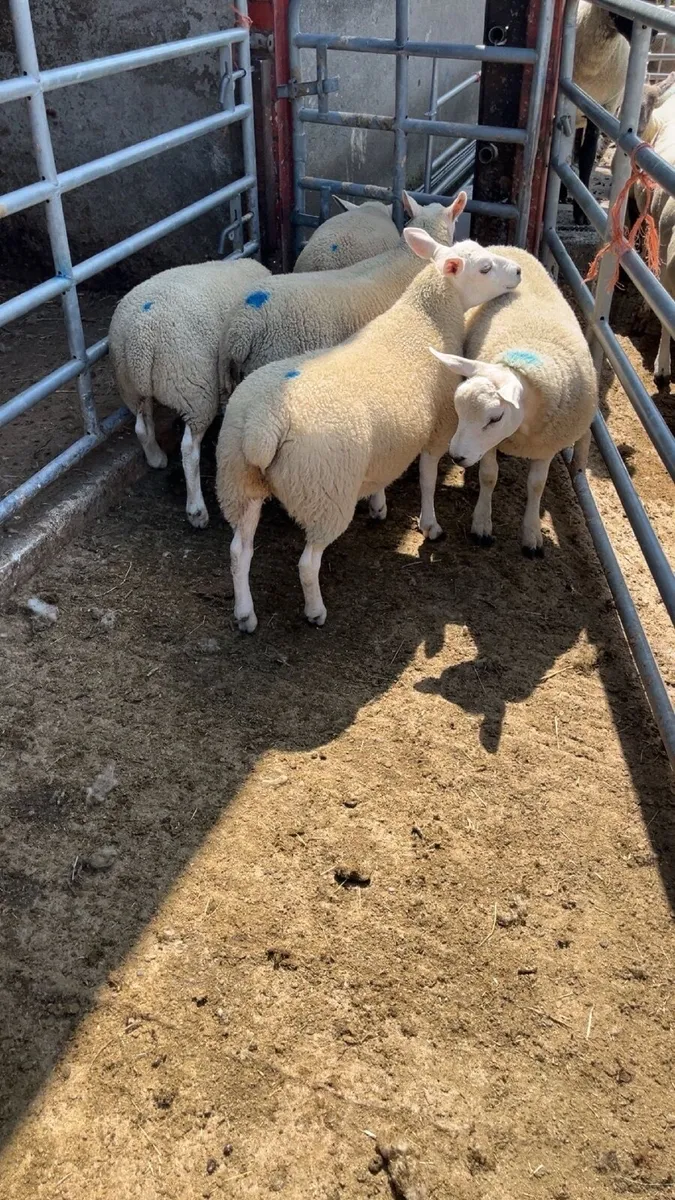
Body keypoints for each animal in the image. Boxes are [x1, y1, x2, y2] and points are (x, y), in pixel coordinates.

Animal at [109, 256, 270, 529]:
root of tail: (140, 339)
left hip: (130, 386)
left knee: (142, 427)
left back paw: (156, 459)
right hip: (196, 392)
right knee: (188, 449)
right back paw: (197, 510)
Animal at [215, 236, 521, 632]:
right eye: (484, 267)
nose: (519, 271)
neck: (426, 319)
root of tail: (262, 424)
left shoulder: (389, 443)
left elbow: (383, 474)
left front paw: (378, 504)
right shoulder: (438, 427)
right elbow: (427, 479)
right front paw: (430, 525)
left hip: (239, 480)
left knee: (239, 551)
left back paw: (245, 614)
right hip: (324, 490)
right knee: (307, 563)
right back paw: (315, 611)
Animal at [430, 245, 597, 556]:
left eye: (495, 418)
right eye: (458, 409)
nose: (457, 457)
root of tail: (510, 247)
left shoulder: (547, 445)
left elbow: (537, 485)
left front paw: (532, 534)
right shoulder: (491, 446)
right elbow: (489, 475)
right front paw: (482, 524)